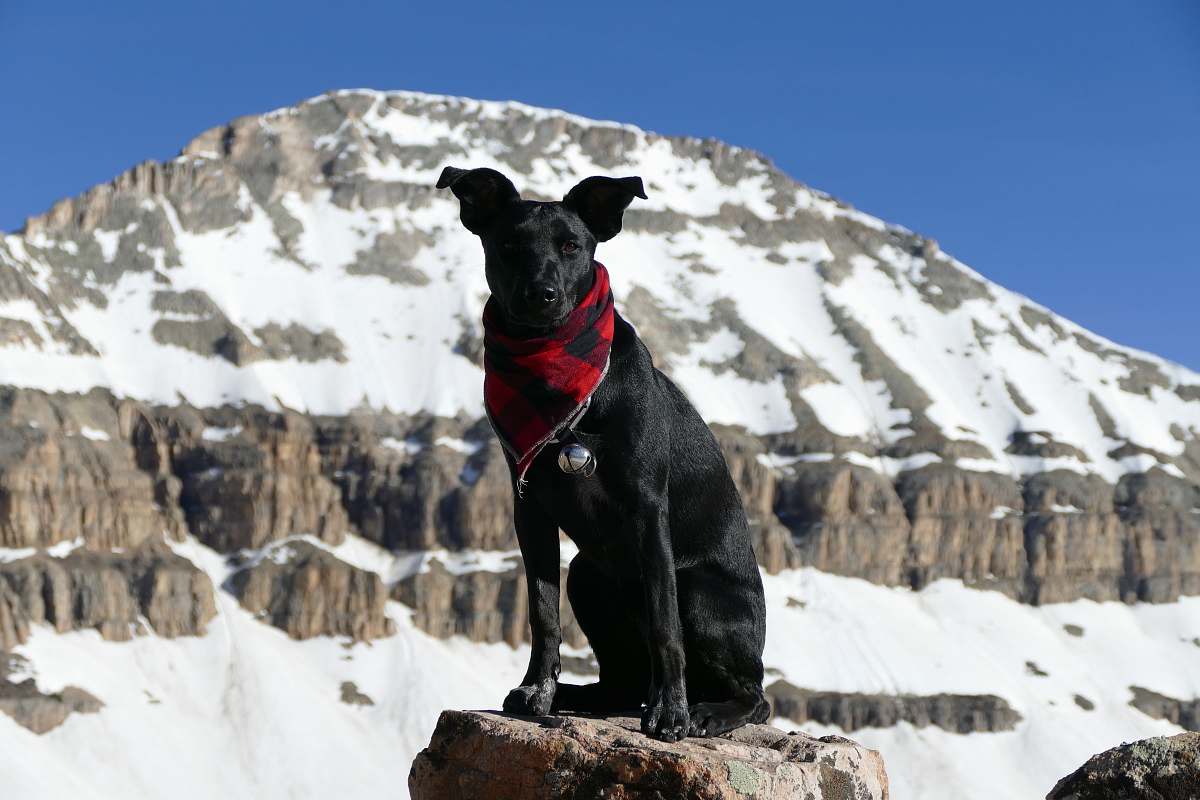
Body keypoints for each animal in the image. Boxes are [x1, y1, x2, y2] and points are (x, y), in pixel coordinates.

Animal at [439, 164, 768, 743]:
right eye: (508, 245)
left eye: (572, 246)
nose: (541, 295)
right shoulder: (530, 507)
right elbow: (542, 614)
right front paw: (536, 690)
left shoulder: (647, 508)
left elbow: (665, 624)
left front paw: (671, 713)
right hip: (589, 577)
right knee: (621, 683)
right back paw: (579, 696)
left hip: (697, 590)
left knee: (755, 694)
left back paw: (706, 711)